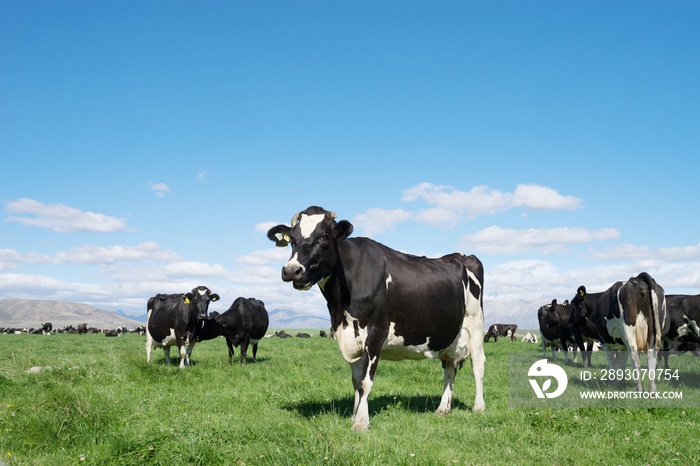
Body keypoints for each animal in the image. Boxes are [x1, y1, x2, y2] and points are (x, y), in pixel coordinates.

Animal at [266, 206, 484, 432]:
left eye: (323, 237)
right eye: (292, 239)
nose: (292, 270)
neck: (341, 305)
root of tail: (461, 255)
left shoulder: (375, 333)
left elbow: (364, 381)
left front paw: (361, 423)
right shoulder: (348, 336)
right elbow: (355, 381)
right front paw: (354, 417)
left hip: (475, 324)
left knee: (478, 364)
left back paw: (478, 407)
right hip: (451, 335)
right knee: (450, 368)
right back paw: (443, 408)